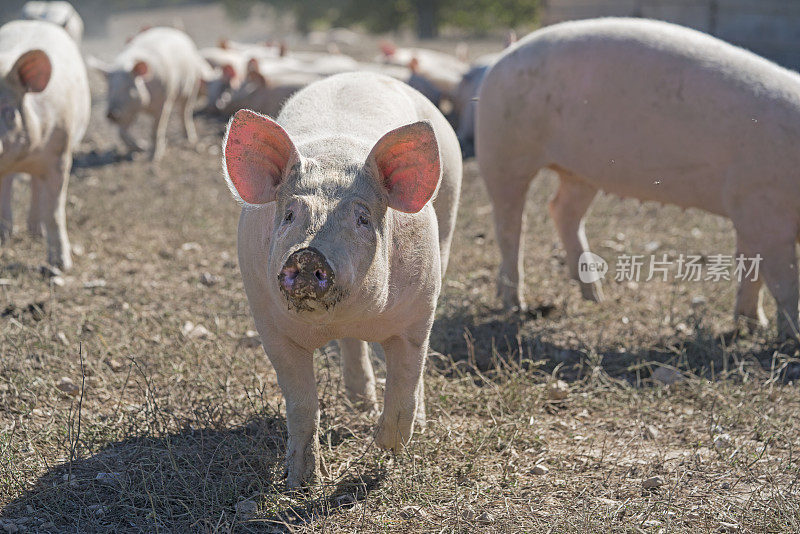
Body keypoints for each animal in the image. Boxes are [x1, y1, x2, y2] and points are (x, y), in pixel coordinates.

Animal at [0, 19, 90, 272]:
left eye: (8, 110)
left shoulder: (60, 154)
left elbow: (54, 211)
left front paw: (61, 265)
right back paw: (7, 235)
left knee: (35, 185)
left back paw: (36, 232)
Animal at [89, 27, 205, 161]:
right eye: (109, 88)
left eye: (129, 88)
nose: (111, 114)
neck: (144, 107)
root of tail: (176, 31)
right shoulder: (129, 111)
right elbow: (121, 133)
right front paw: (141, 148)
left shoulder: (164, 102)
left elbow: (157, 129)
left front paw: (153, 158)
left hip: (193, 84)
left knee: (185, 112)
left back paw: (190, 139)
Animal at [223, 72, 462, 490]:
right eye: (290, 214)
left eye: (363, 219)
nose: (307, 254)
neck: (343, 317)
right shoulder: (270, 324)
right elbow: (303, 404)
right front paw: (302, 483)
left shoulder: (418, 311)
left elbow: (404, 385)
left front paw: (387, 452)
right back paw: (359, 403)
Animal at [478, 18, 800, 342]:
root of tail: (507, 51)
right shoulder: (763, 204)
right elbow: (784, 282)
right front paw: (789, 338)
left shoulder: (746, 207)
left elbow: (752, 268)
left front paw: (754, 325)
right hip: (502, 148)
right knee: (510, 225)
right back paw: (515, 305)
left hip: (580, 173)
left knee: (561, 210)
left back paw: (595, 296)